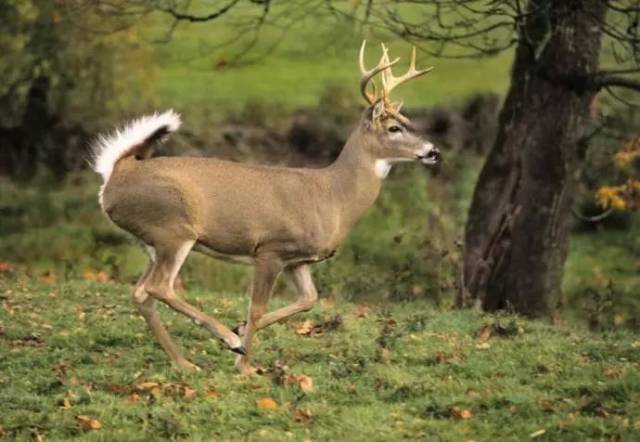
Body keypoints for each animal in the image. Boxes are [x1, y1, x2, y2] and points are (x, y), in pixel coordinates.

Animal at [91, 41, 440, 374]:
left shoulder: (298, 260)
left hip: (152, 242)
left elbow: (309, 300)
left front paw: (240, 330)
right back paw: (227, 342)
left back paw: (185, 362)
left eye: (408, 121)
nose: (433, 151)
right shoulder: (271, 249)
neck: (333, 197)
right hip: (174, 230)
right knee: (160, 287)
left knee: (141, 293)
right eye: (393, 128)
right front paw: (243, 362)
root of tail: (116, 174)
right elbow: (257, 307)